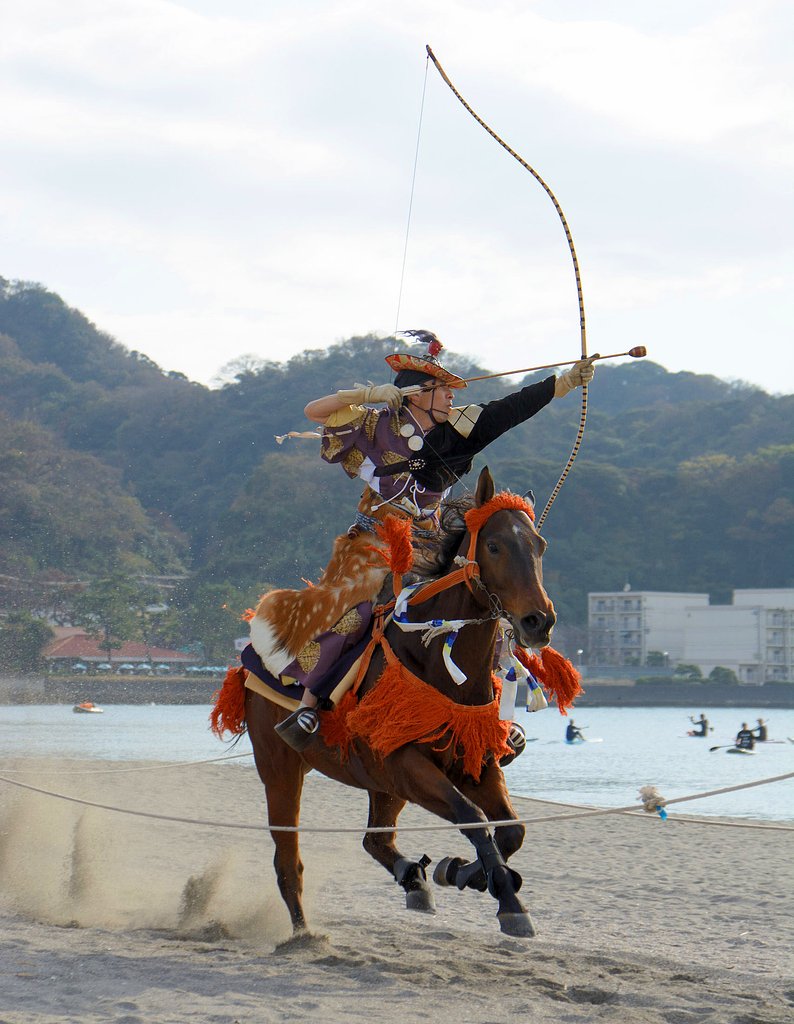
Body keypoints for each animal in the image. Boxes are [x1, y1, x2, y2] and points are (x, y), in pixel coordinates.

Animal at [211, 467, 574, 938]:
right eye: (494, 545)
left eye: (539, 545)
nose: (538, 621)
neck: (440, 663)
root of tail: (248, 660)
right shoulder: (404, 762)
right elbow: (473, 815)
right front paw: (505, 901)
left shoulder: (473, 763)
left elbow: (512, 831)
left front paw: (466, 873)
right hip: (280, 767)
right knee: (288, 860)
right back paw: (304, 935)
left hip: (378, 782)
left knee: (376, 839)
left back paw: (414, 877)